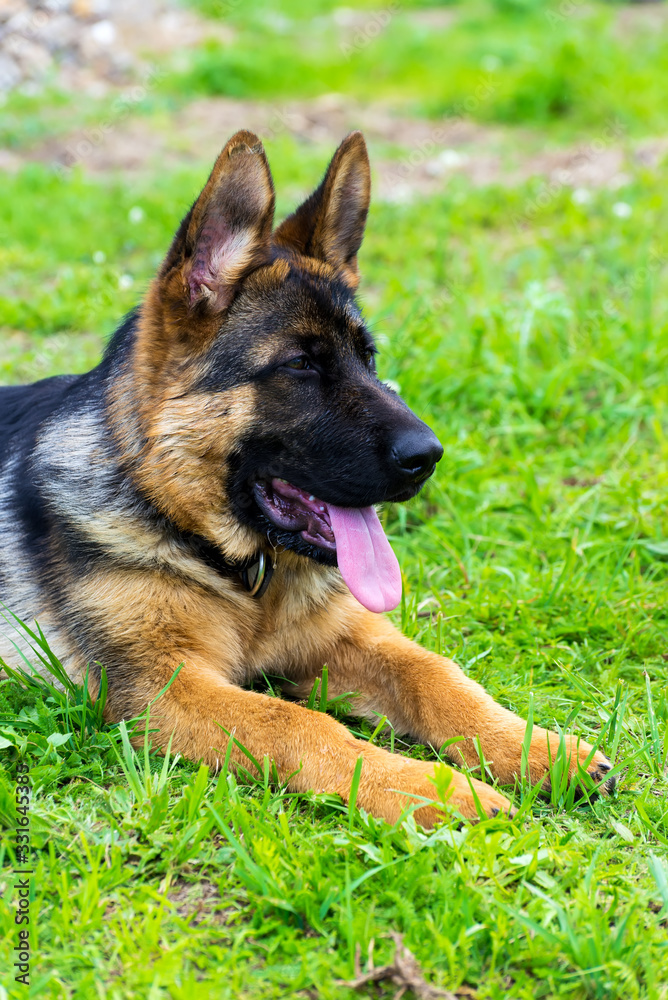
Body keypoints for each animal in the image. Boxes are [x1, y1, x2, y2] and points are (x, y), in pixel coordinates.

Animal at [1, 131, 616, 820]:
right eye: (300, 365)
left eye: (367, 358)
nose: (429, 456)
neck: (232, 566)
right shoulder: (162, 688)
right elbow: (296, 722)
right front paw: (439, 792)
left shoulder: (343, 637)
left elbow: (433, 672)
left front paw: (536, 748)